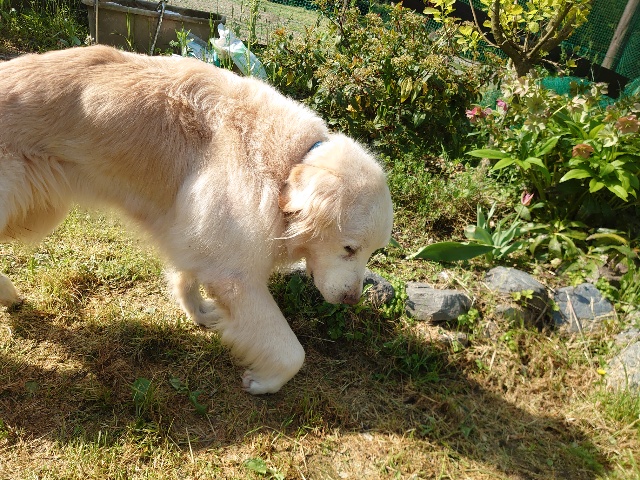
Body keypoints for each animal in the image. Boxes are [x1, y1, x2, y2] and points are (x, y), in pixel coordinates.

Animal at [0, 45, 393, 394]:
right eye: (349, 248)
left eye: (372, 252)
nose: (352, 300)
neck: (287, 163)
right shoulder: (234, 275)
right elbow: (291, 352)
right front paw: (264, 382)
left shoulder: (194, 234)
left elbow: (185, 275)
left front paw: (200, 313)